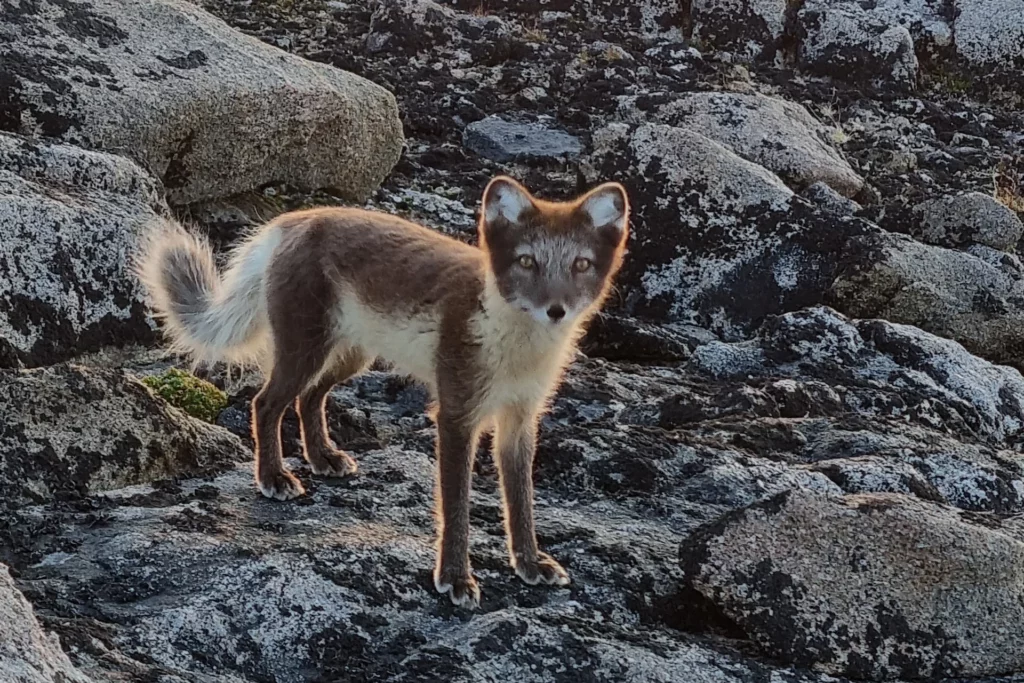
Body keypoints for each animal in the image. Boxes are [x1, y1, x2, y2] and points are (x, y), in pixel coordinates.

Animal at [136, 176, 629, 608]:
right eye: (527, 261)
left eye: (581, 265)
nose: (556, 310)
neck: (514, 347)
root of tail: (291, 221)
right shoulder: (457, 414)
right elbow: (456, 507)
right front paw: (455, 578)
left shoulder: (521, 420)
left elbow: (522, 502)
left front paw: (529, 564)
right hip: (305, 350)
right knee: (266, 402)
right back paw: (274, 478)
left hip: (351, 357)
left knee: (309, 399)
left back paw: (323, 458)